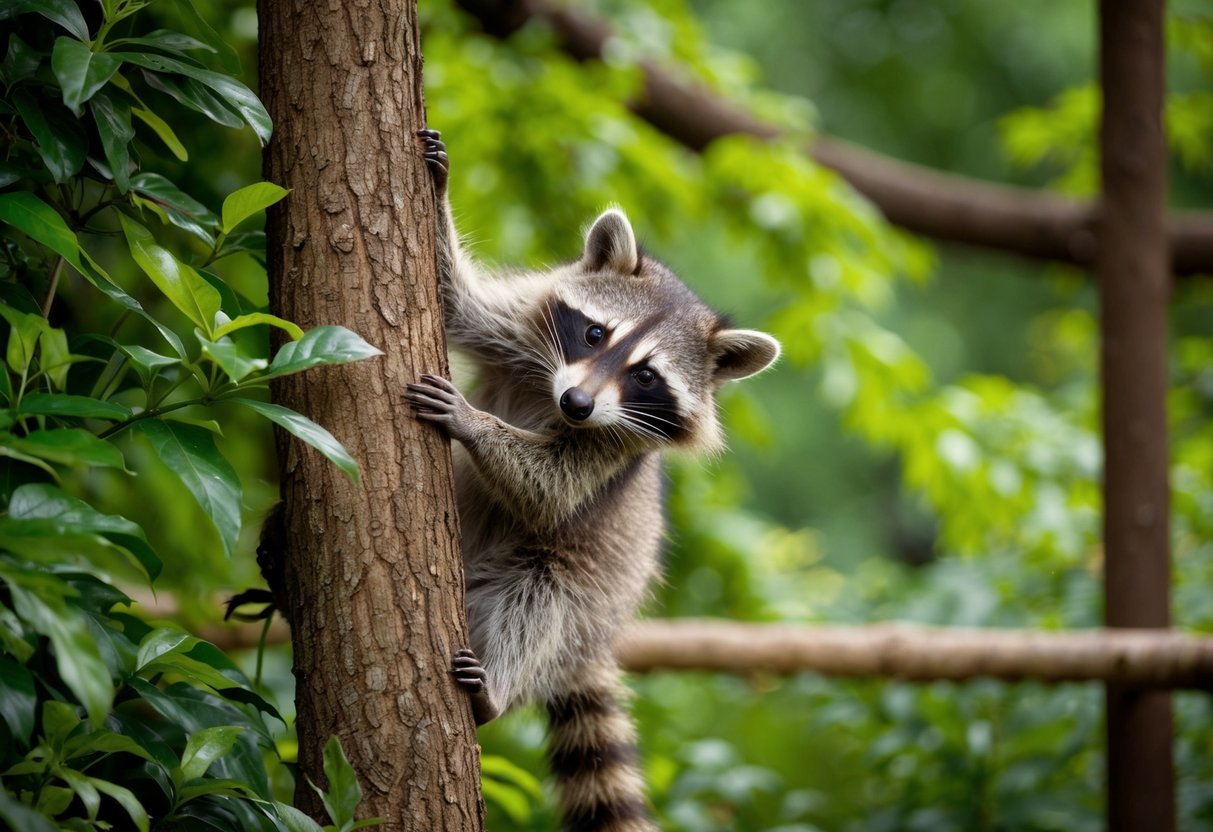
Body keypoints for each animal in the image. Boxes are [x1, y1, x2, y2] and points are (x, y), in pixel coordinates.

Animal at [408, 129, 780, 832]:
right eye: (594, 332)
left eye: (647, 376)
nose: (577, 404)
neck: (554, 397)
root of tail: (597, 637)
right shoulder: (523, 334)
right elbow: (457, 302)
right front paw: (438, 189)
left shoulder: (619, 445)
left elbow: (548, 487)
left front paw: (474, 422)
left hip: (581, 593)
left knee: (538, 596)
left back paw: (495, 686)